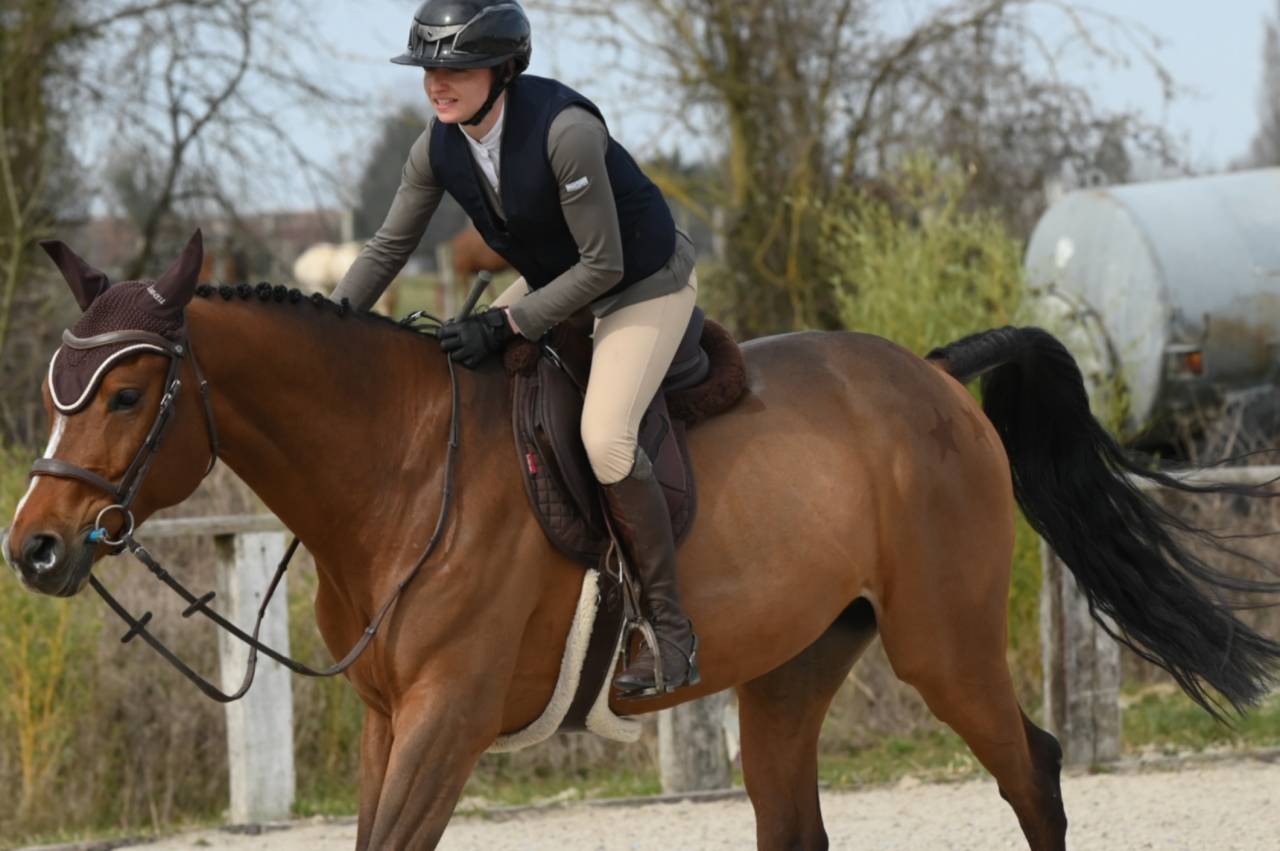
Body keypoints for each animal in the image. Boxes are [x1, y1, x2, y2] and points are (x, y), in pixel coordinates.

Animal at [5, 233, 1280, 850]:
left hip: (943, 642)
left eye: (126, 396)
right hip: (792, 665)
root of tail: (928, 371)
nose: (35, 548)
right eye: (54, 384)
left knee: (1034, 774)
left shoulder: (447, 714)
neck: (399, 464)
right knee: (793, 821)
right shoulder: (385, 718)